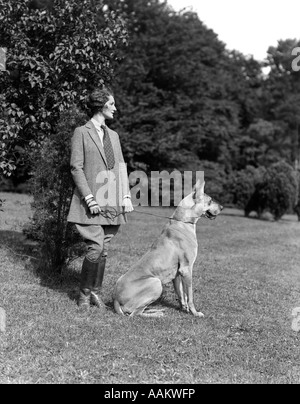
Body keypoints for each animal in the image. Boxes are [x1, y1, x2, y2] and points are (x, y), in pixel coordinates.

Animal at [113, 181, 224, 318]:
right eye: (210, 200)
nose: (222, 207)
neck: (182, 221)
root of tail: (116, 299)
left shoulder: (178, 273)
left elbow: (181, 293)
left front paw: (184, 308)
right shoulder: (187, 269)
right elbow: (190, 295)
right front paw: (195, 312)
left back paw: (155, 310)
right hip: (155, 283)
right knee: (135, 313)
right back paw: (157, 314)